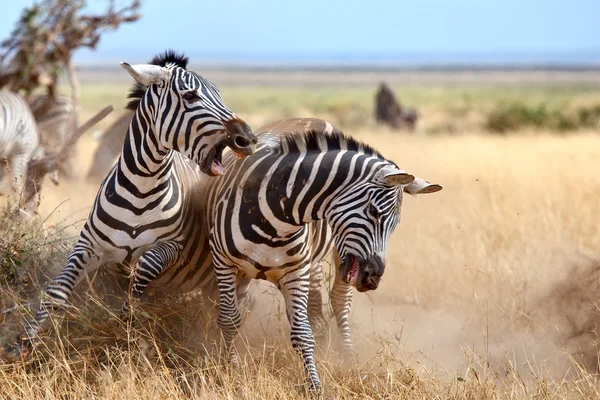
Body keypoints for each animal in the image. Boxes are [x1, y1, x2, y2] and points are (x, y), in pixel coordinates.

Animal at [0, 50, 258, 362]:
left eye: (219, 94)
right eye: (191, 96)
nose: (248, 138)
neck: (141, 188)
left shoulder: (175, 246)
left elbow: (145, 266)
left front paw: (125, 320)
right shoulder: (88, 245)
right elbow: (57, 291)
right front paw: (21, 343)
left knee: (237, 308)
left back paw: (229, 358)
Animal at [193, 117, 446, 392]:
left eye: (395, 224)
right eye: (374, 212)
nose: (372, 278)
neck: (277, 213)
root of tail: (312, 119)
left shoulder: (295, 272)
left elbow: (302, 332)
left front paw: (314, 384)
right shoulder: (224, 263)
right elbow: (230, 319)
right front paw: (230, 369)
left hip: (333, 254)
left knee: (339, 301)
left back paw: (347, 358)